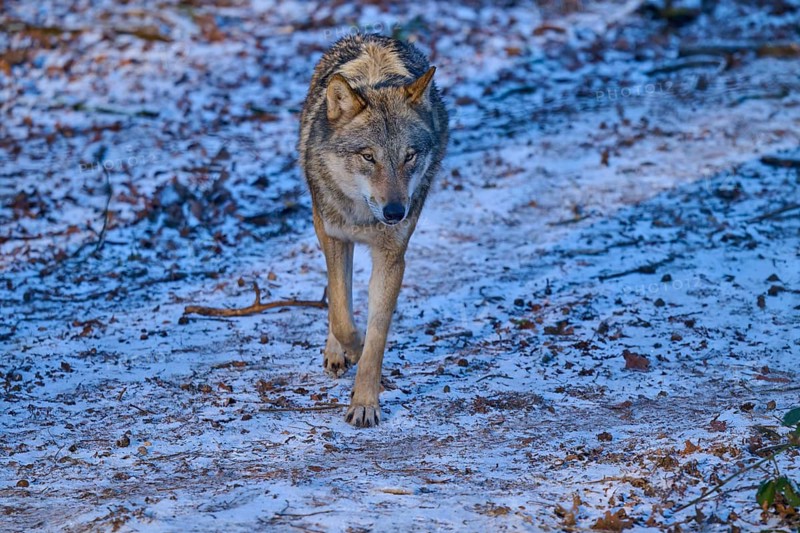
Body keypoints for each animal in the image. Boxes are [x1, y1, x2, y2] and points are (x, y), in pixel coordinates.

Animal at [298, 34, 448, 427]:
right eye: (369, 157)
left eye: (409, 156)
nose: (395, 213)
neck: (363, 216)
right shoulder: (334, 236)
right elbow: (341, 313)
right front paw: (350, 349)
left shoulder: (392, 256)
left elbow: (377, 335)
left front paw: (365, 402)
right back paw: (337, 352)